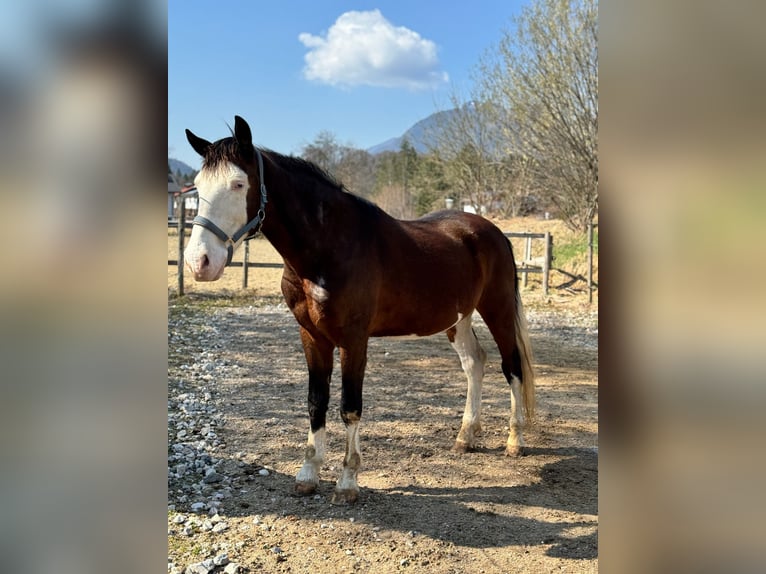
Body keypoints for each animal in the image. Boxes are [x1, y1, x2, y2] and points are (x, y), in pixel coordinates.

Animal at [183, 116, 535, 504]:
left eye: (238, 183)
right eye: (197, 186)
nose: (199, 262)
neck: (329, 248)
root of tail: (492, 231)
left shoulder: (354, 340)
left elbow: (349, 407)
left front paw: (348, 482)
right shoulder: (312, 337)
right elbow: (316, 402)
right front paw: (308, 474)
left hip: (497, 309)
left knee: (512, 367)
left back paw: (515, 440)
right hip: (459, 317)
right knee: (475, 363)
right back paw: (465, 437)